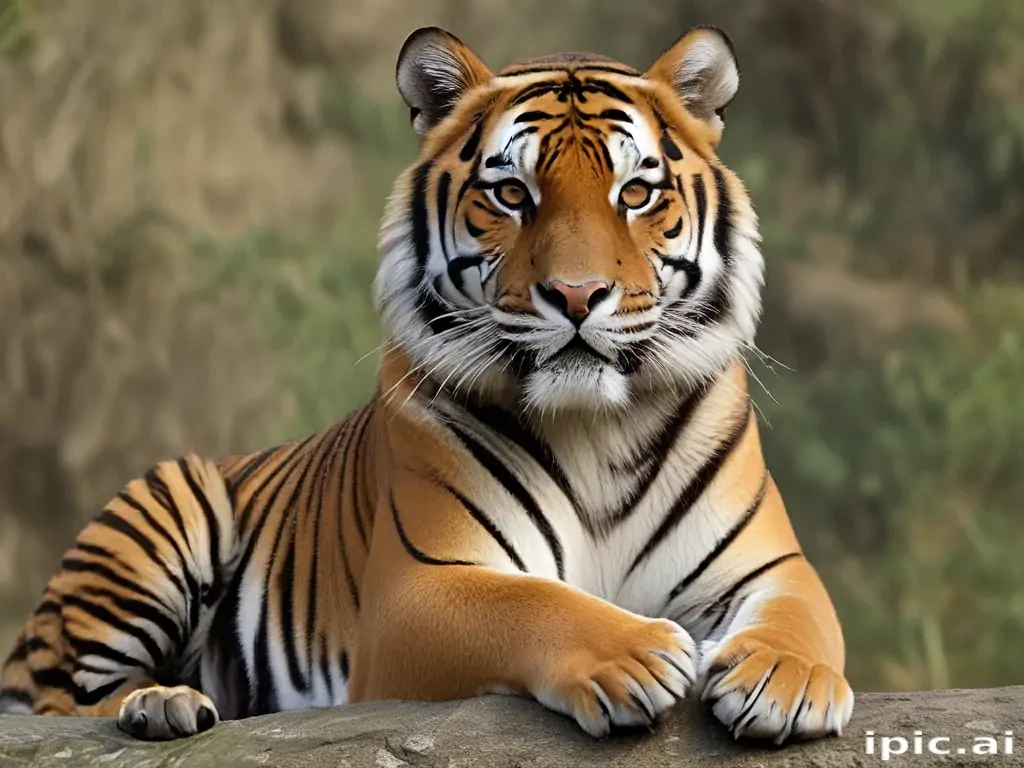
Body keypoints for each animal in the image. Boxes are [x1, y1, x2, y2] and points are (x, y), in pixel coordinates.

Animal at [0, 25, 853, 744]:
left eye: (635, 194)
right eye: (512, 194)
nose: (576, 296)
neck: (593, 423)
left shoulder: (768, 567)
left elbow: (805, 616)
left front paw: (787, 680)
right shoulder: (420, 588)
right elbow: (531, 604)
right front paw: (638, 654)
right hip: (168, 505)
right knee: (57, 702)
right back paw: (163, 704)